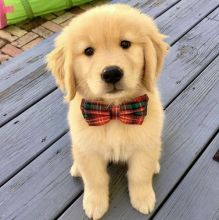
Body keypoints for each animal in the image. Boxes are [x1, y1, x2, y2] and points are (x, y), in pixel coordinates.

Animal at [47, 3, 169, 220]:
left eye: (125, 44)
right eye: (88, 51)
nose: (111, 73)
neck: (114, 111)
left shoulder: (144, 146)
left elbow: (139, 174)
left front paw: (143, 198)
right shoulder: (88, 150)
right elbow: (95, 180)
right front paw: (95, 204)